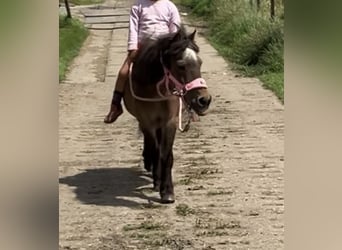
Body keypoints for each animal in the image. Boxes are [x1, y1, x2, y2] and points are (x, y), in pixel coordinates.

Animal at [121, 26, 210, 203]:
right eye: (181, 65)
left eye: (200, 62)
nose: (204, 100)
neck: (156, 90)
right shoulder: (148, 122)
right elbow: (156, 150)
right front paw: (158, 182)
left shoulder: (169, 122)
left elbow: (166, 155)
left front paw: (167, 190)